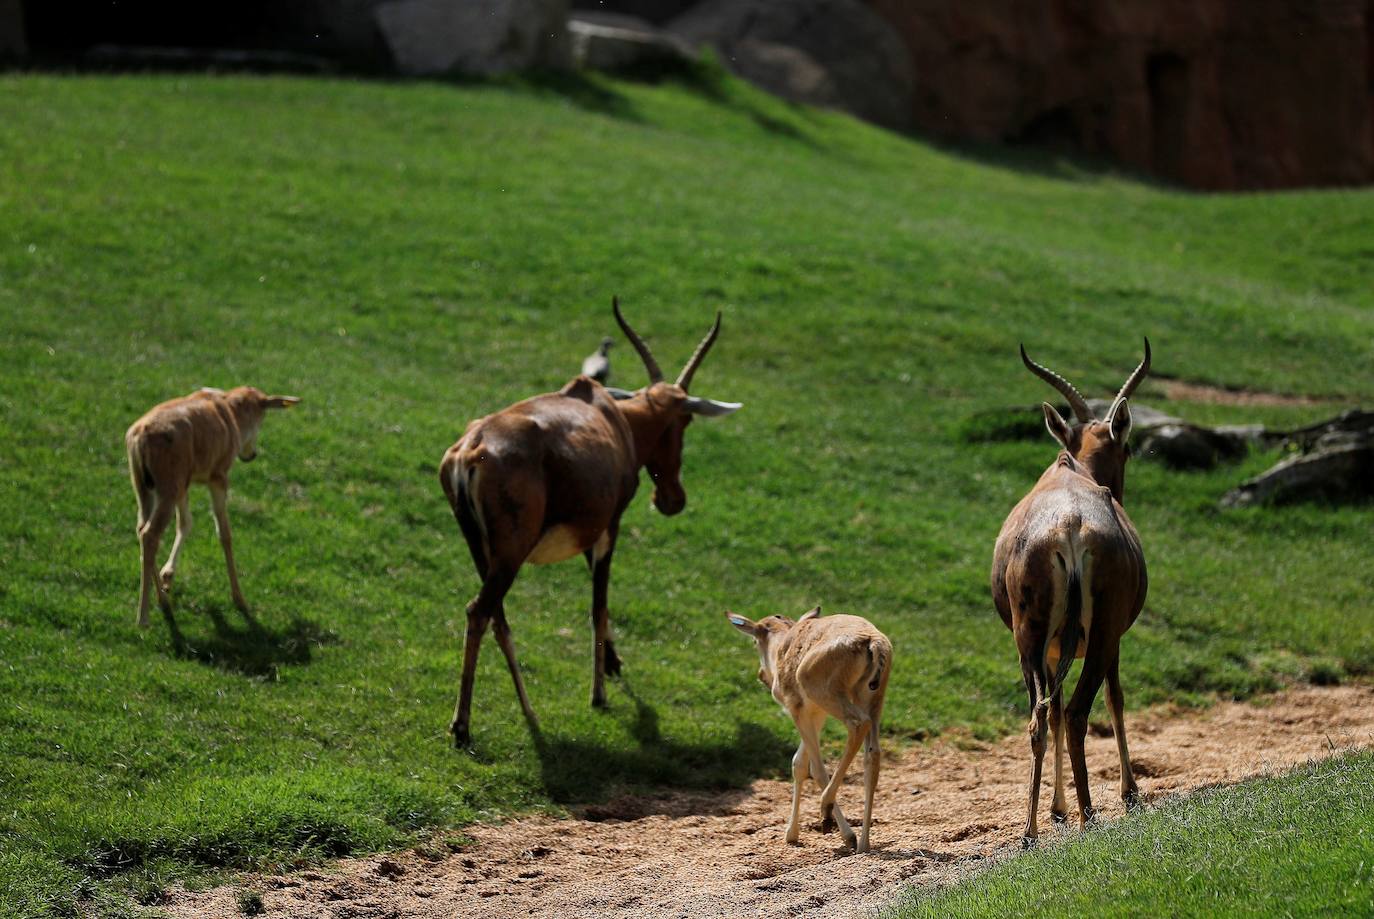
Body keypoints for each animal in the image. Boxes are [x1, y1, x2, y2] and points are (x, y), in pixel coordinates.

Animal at [122, 384, 300, 626]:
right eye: (262, 418)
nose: (251, 454)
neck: (232, 415)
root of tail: (140, 436)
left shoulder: (186, 482)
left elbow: (186, 523)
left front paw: (168, 575)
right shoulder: (218, 477)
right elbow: (224, 533)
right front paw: (239, 599)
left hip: (144, 485)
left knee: (141, 528)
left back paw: (163, 599)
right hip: (168, 486)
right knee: (150, 534)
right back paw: (143, 618)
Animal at [439, 299, 741, 747]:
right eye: (683, 422)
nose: (671, 500)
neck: (610, 415)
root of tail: (472, 449)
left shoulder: (589, 531)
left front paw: (613, 664)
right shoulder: (609, 527)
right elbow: (598, 605)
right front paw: (598, 695)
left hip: (481, 548)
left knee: (497, 616)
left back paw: (528, 710)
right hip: (510, 554)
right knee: (480, 611)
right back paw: (463, 726)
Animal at [725, 604, 895, 851]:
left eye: (755, 641)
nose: (762, 676)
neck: (783, 641)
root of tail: (873, 642)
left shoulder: (796, 708)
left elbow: (813, 768)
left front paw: (840, 834)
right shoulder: (816, 713)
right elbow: (799, 762)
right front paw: (792, 833)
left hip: (829, 695)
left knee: (857, 725)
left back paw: (828, 810)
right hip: (872, 700)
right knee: (873, 754)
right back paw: (864, 845)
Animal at [994, 339, 1154, 846]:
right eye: (1128, 449)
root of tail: (1068, 524)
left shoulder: (1051, 648)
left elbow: (1055, 708)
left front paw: (1055, 809)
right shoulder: (1114, 639)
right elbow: (1115, 697)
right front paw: (1129, 793)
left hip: (1028, 640)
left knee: (1041, 717)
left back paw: (1029, 831)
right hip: (1100, 636)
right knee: (1081, 712)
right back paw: (1088, 815)